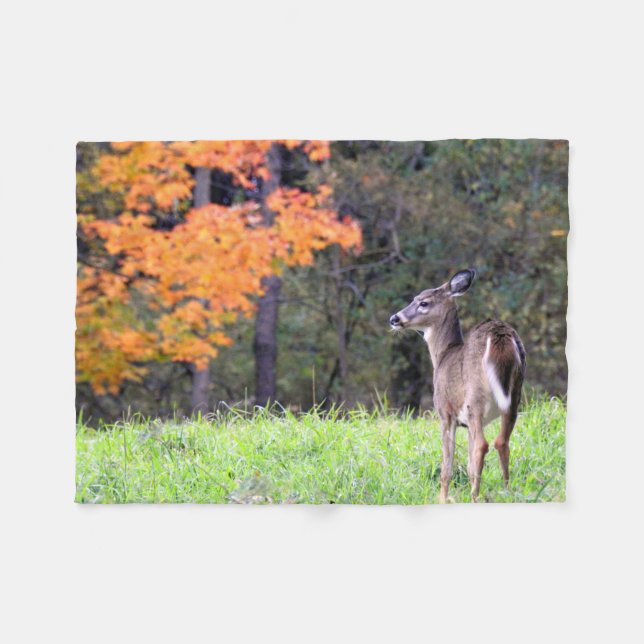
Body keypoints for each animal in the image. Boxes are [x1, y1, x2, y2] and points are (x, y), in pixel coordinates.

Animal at [390, 269, 526, 503]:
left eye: (423, 302)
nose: (394, 318)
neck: (442, 355)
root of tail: (500, 335)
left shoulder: (445, 411)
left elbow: (447, 465)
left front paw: (442, 498)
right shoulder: (467, 422)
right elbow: (470, 466)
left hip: (475, 398)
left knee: (483, 444)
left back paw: (475, 497)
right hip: (514, 395)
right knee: (502, 441)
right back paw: (506, 492)